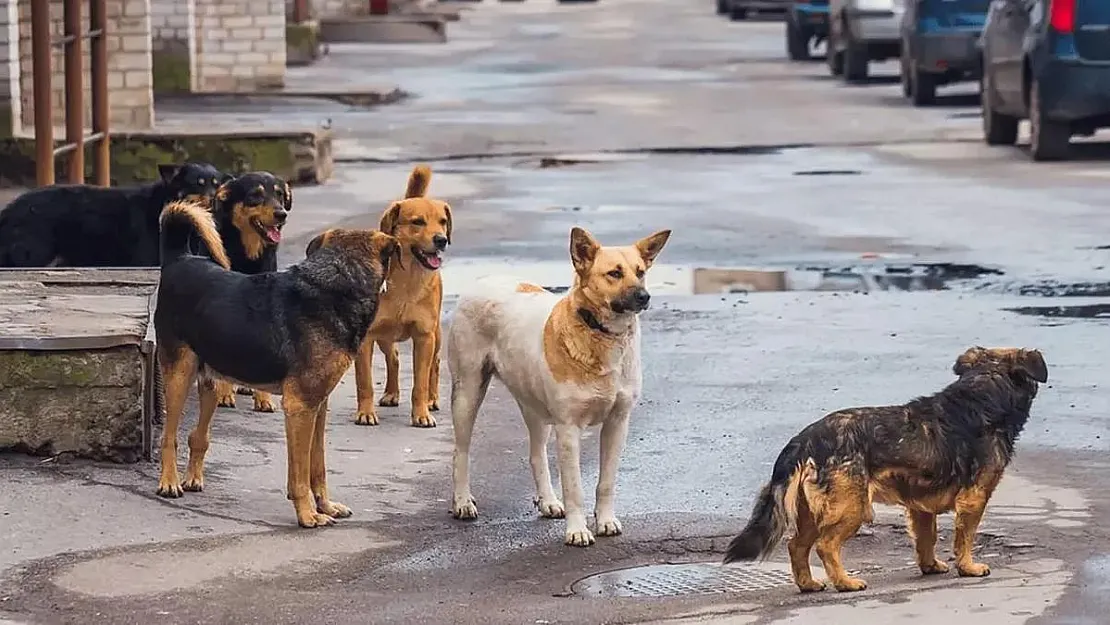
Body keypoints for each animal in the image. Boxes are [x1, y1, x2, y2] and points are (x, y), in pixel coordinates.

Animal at [0, 160, 228, 266]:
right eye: (198, 184)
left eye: (217, 184)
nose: (215, 199)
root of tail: (9, 211)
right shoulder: (145, 260)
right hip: (33, 255)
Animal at [199, 173, 293, 412]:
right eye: (255, 196)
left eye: (279, 194)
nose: (281, 214)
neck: (248, 254)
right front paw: (224, 394)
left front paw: (263, 399)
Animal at [306, 165, 448, 430]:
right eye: (418, 222)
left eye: (443, 222)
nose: (441, 240)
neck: (406, 282)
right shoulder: (366, 338)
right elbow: (365, 382)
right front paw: (365, 413)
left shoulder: (424, 336)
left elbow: (420, 383)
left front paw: (421, 413)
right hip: (384, 336)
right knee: (393, 357)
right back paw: (391, 393)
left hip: (435, 334)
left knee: (434, 364)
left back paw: (432, 398)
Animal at [446, 226, 670, 548]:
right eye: (614, 273)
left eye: (640, 272)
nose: (644, 296)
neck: (599, 333)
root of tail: (483, 281)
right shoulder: (569, 429)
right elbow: (574, 487)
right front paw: (577, 530)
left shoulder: (617, 423)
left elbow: (606, 482)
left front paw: (605, 520)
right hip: (468, 393)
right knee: (460, 452)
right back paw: (462, 502)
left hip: (535, 407)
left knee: (536, 454)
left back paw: (548, 501)